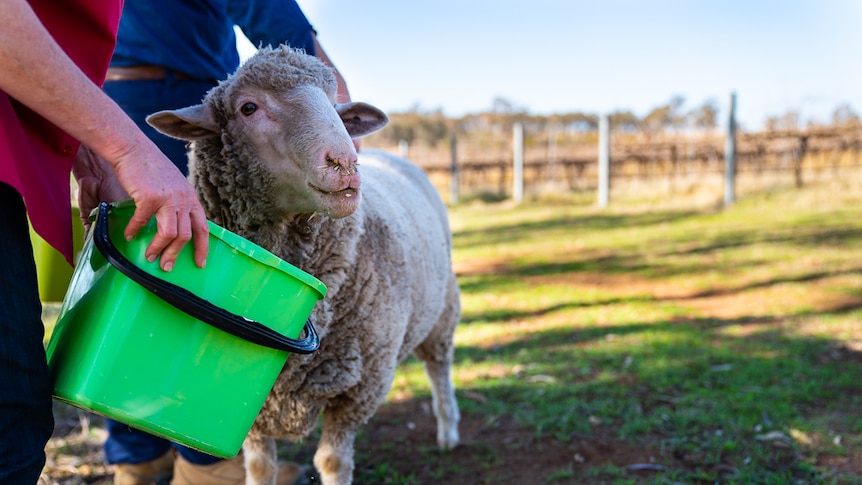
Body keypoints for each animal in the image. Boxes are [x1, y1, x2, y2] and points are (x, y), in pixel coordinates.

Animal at [148, 46, 460, 484]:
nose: (345, 161)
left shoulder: (360, 389)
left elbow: (331, 461)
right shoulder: (251, 403)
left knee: (439, 368)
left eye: (334, 104)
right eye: (248, 108)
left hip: (442, 310)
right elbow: (260, 466)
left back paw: (448, 430)